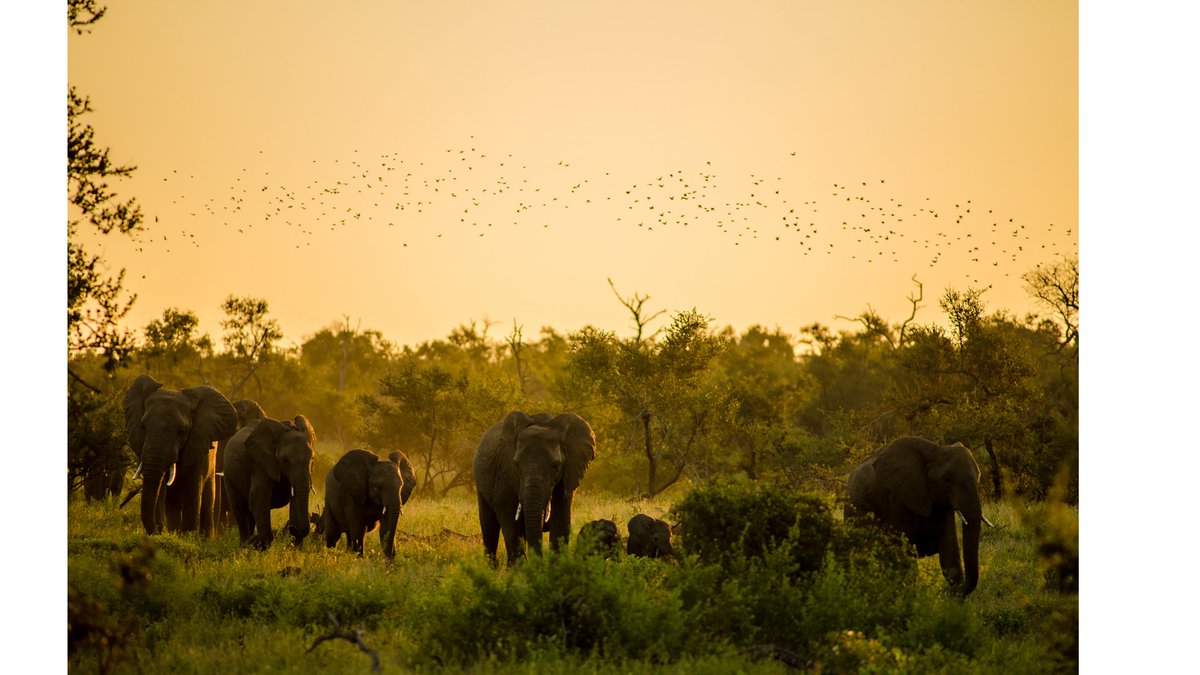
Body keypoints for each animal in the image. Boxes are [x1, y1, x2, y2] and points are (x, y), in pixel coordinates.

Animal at [124, 375, 238, 535]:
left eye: (182, 431)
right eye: (143, 427)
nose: (158, 531)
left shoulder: (198, 446)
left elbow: (192, 491)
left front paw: (188, 536)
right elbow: (160, 490)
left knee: (207, 503)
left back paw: (204, 537)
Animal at [222, 415, 316, 550]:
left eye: (312, 459)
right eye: (284, 460)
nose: (292, 528)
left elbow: (295, 500)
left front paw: (297, 549)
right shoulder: (260, 462)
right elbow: (258, 498)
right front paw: (264, 546)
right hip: (228, 472)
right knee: (239, 507)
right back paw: (245, 545)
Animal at [472, 411, 596, 565]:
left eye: (555, 466)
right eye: (516, 465)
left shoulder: (567, 476)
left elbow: (560, 522)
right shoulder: (504, 474)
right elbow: (510, 523)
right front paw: (521, 569)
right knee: (489, 526)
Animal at [845, 436, 993, 596]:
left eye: (979, 476)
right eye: (947, 479)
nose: (948, 592)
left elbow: (949, 552)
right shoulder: (897, 498)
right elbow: (904, 558)